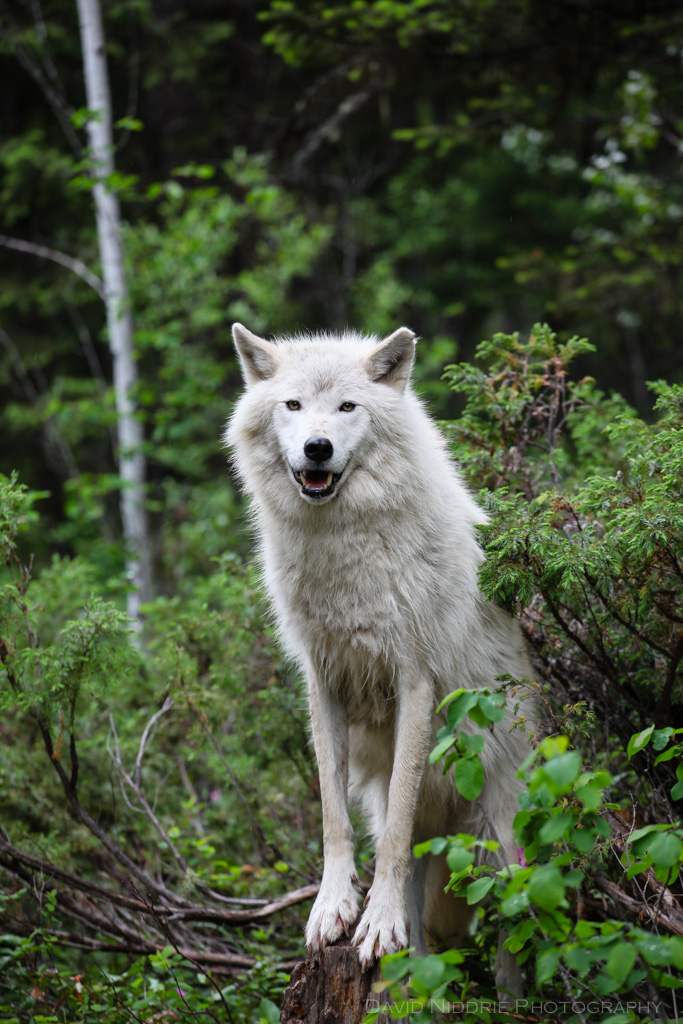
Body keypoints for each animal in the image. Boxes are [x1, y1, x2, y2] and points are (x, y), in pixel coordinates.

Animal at [225, 323, 533, 995]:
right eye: (293, 405)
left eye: (347, 408)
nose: (316, 448)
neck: (342, 553)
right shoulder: (322, 683)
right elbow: (331, 816)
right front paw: (335, 910)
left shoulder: (415, 680)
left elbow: (389, 838)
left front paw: (376, 919)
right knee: (422, 946)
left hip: (500, 847)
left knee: (513, 944)